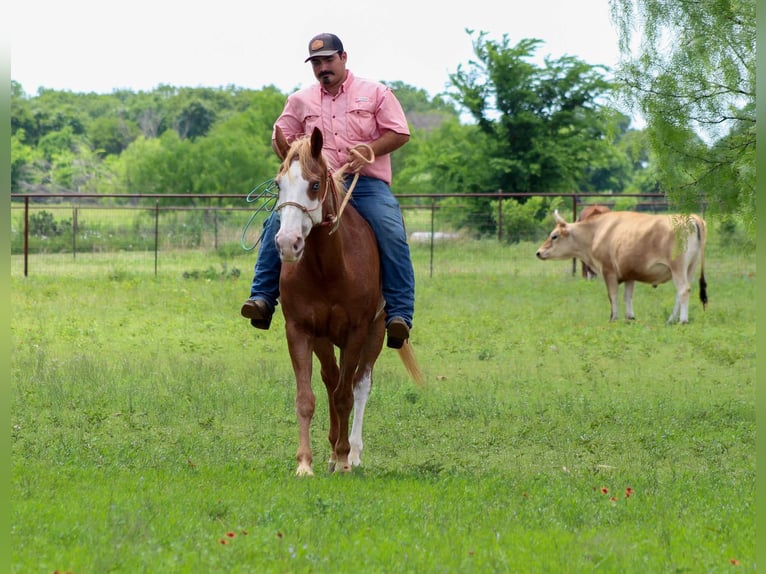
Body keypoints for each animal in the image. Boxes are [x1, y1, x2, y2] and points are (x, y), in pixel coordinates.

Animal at [272, 125, 422, 476]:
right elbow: (307, 397)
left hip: (376, 333)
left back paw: (351, 452)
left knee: (359, 385)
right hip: (326, 339)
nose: (288, 243)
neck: (329, 269)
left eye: (314, 184)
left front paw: (343, 459)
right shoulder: (300, 330)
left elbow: (345, 396)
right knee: (331, 379)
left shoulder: (357, 331)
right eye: (278, 184)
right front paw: (305, 463)